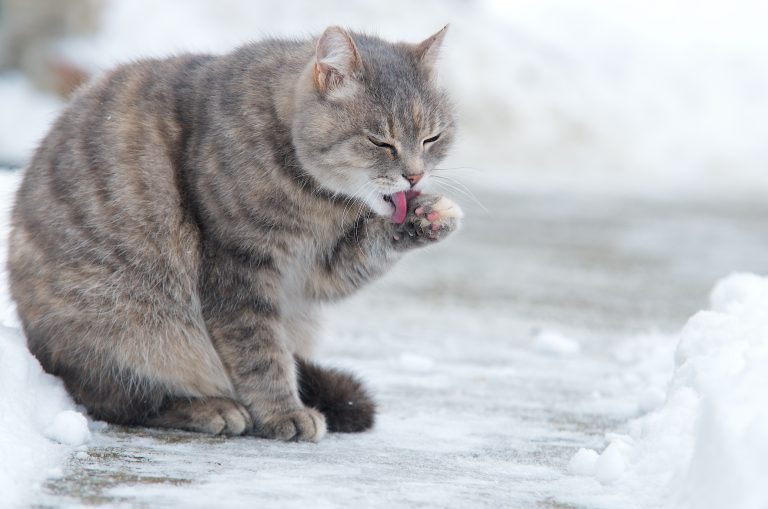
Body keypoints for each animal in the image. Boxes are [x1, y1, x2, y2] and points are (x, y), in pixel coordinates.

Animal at [7, 26, 462, 440]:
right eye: (380, 141)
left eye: (432, 137)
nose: (415, 176)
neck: (319, 204)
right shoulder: (237, 270)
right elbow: (259, 353)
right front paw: (283, 413)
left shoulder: (312, 274)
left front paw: (430, 217)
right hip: (127, 324)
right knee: (116, 401)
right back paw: (210, 408)